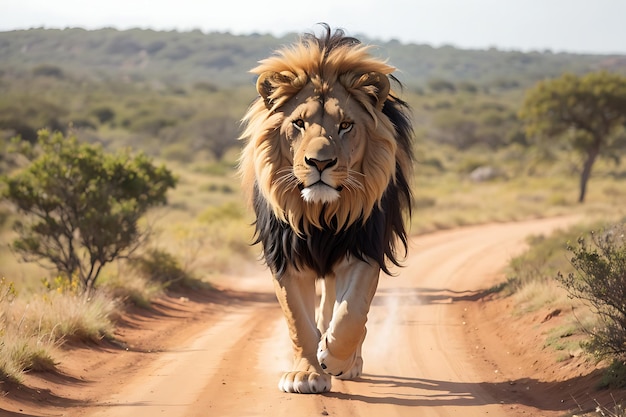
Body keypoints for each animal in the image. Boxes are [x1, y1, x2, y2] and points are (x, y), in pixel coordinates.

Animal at [236, 24, 412, 392]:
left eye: (345, 125)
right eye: (299, 124)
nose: (319, 163)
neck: (321, 214)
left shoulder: (363, 248)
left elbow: (352, 314)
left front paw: (335, 359)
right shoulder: (286, 256)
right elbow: (298, 321)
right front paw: (306, 373)